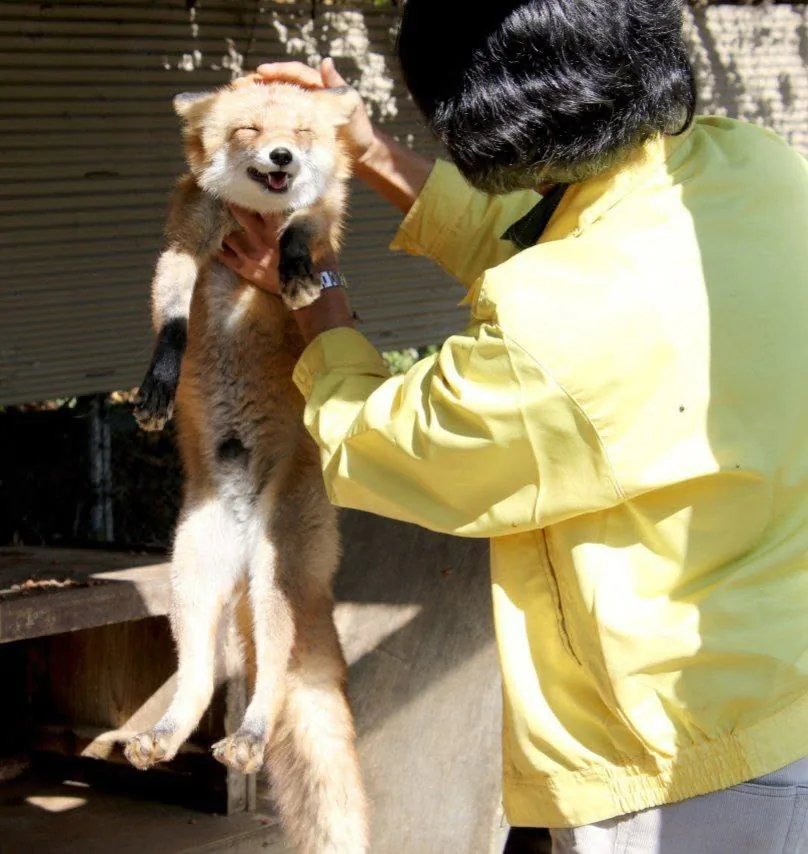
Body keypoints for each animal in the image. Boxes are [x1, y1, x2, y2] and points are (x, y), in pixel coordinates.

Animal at [123, 78, 368, 854]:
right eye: (250, 130)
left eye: (302, 131)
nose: (282, 157)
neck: (249, 216)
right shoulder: (183, 244)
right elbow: (173, 321)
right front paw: (158, 385)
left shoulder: (321, 216)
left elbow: (300, 231)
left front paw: (293, 275)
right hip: (191, 585)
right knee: (200, 681)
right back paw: (165, 737)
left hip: (274, 584)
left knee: (277, 687)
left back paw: (252, 740)